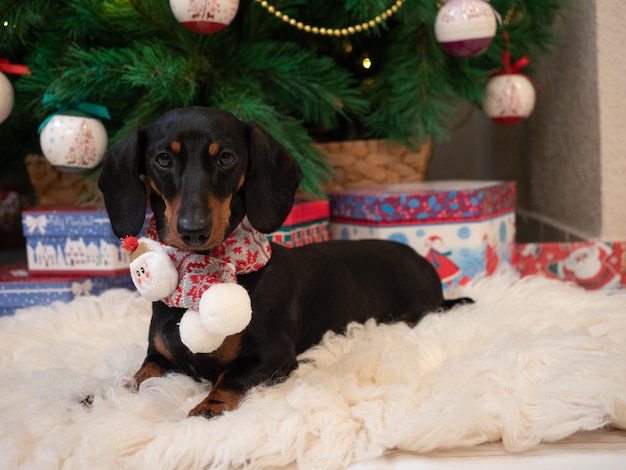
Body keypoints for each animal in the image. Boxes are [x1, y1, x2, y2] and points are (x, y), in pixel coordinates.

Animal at [97, 107, 466, 418]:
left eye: (226, 158)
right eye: (163, 159)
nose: (193, 231)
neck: (200, 272)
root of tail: (422, 261)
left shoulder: (272, 356)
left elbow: (229, 376)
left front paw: (208, 406)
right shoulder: (158, 356)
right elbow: (141, 375)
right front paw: (105, 394)